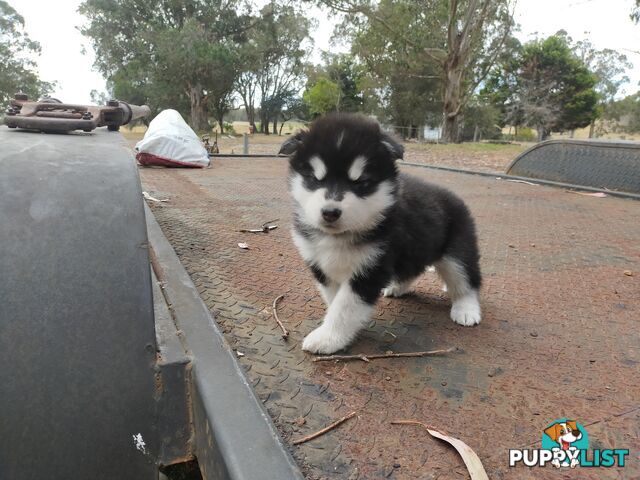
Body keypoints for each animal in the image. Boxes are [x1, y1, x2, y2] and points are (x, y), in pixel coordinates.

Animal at [280, 112, 480, 352]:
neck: (340, 236)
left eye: (361, 182)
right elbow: (334, 299)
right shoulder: (320, 265)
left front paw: (328, 337)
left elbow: (344, 307)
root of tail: (454, 197)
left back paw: (467, 309)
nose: (330, 212)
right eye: (314, 179)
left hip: (458, 253)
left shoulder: (371, 268)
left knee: (467, 280)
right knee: (412, 269)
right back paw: (397, 287)